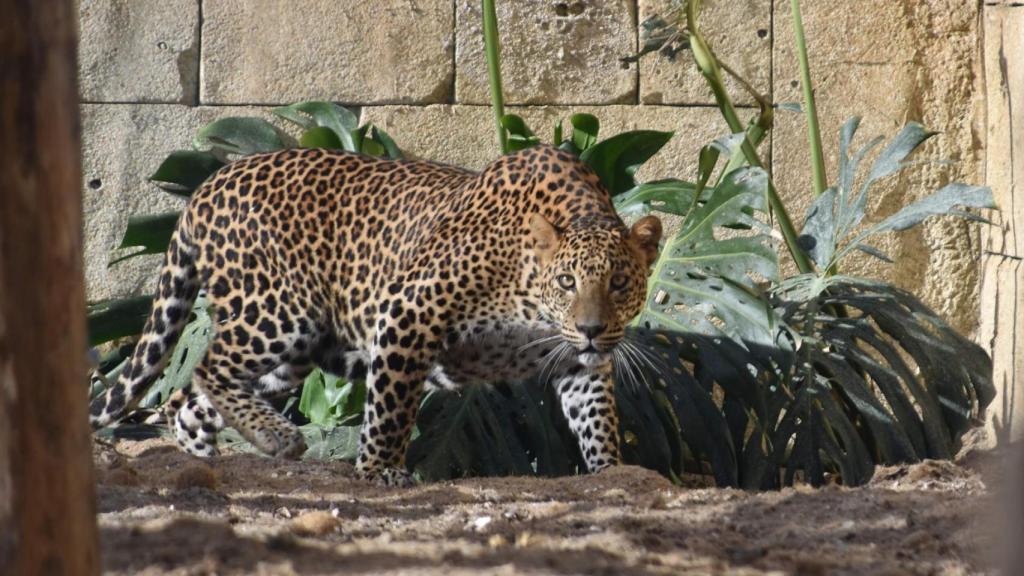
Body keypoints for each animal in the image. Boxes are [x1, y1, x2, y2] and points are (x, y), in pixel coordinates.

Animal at [92, 143, 659, 483]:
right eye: (567, 283)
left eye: (620, 283)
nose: (591, 329)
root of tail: (209, 183)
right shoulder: (410, 311)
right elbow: (392, 407)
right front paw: (379, 469)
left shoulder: (579, 362)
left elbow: (596, 417)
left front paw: (613, 473)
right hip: (279, 312)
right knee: (208, 367)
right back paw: (278, 437)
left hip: (293, 355)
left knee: (190, 399)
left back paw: (210, 462)